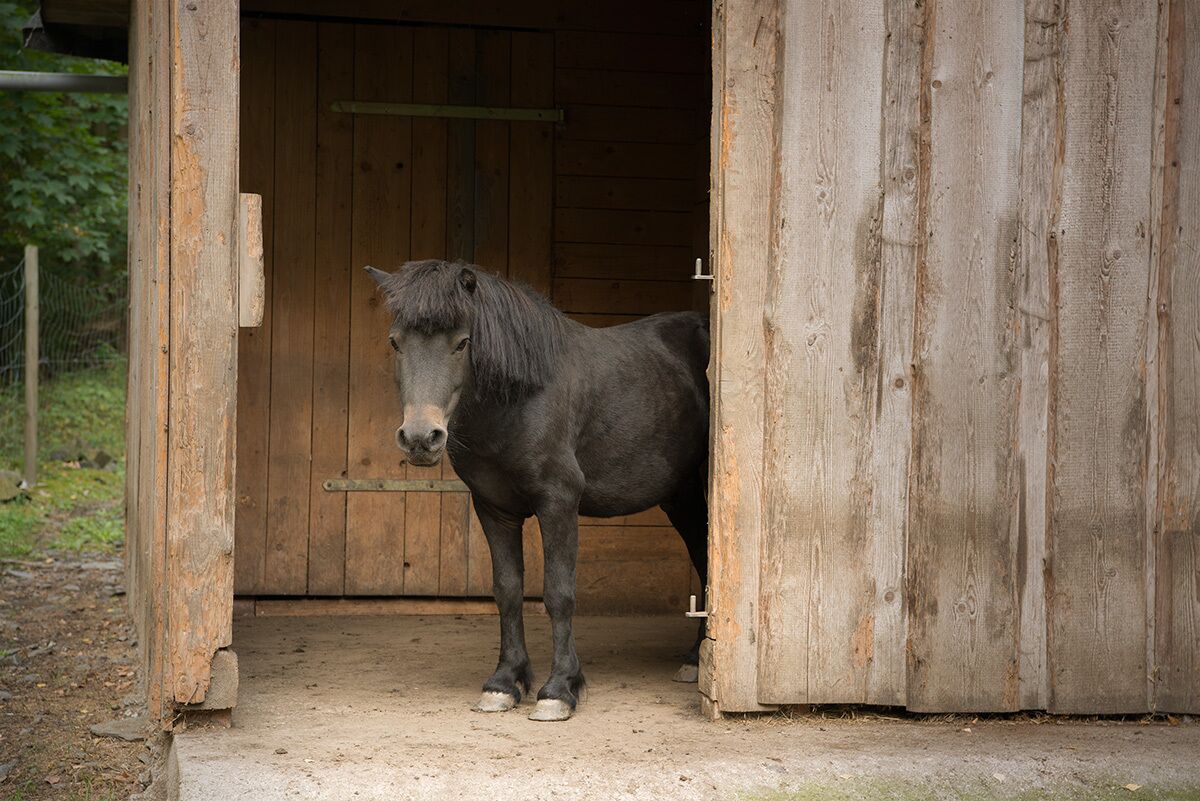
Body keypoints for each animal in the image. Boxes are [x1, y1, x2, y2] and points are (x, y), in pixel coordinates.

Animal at [365, 260, 710, 722]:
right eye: (395, 342)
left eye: (462, 343)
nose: (421, 438)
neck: (521, 402)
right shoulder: (494, 509)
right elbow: (508, 590)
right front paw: (504, 683)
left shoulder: (558, 503)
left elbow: (558, 593)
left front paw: (558, 689)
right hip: (681, 495)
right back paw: (694, 659)